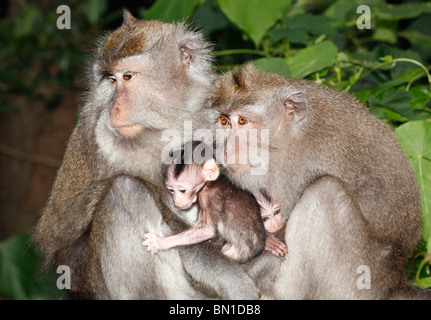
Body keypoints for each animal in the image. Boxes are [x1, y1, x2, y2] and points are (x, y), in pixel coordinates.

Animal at [143, 145, 288, 262]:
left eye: (182, 190)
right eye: (171, 190)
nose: (177, 201)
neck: (211, 182)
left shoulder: (208, 197)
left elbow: (207, 229)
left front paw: (161, 242)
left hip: (235, 252)